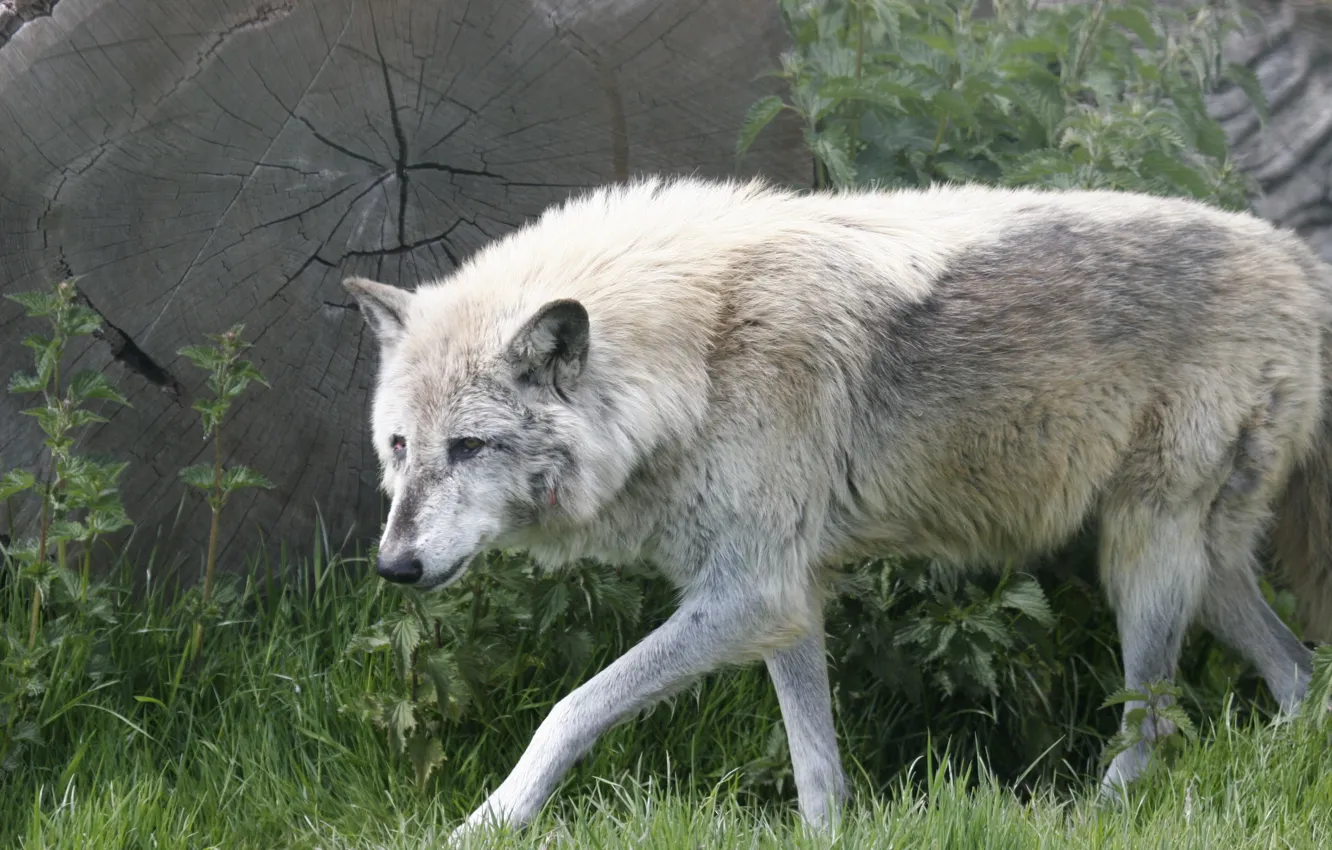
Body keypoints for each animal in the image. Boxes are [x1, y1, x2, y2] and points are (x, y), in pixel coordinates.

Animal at [343, 175, 1332, 841]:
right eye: (399, 447)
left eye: (470, 448)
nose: (394, 566)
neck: (698, 354)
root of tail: (1299, 258)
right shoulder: (783, 599)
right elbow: (815, 764)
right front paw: (830, 834)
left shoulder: (753, 594)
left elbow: (570, 709)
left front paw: (487, 823)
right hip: (1192, 567)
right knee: (1298, 673)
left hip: (1145, 560)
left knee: (1155, 723)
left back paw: (1102, 811)